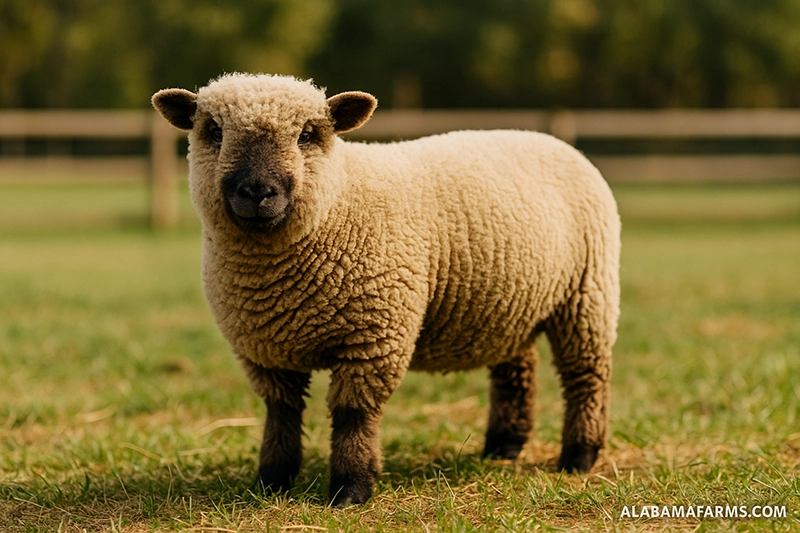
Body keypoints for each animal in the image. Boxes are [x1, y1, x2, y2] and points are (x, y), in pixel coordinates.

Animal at [152, 73, 621, 507]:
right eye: (214, 131)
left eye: (307, 134)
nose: (256, 191)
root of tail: (552, 140)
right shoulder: (265, 348)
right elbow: (281, 413)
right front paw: (272, 480)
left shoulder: (374, 337)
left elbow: (353, 415)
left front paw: (350, 489)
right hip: (509, 305)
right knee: (516, 372)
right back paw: (503, 448)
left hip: (588, 295)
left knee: (586, 377)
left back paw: (579, 457)